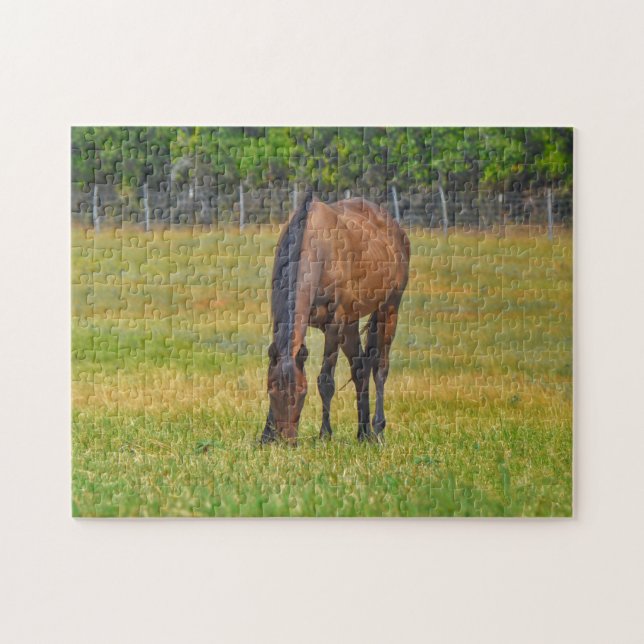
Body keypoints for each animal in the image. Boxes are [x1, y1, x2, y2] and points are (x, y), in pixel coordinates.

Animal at [261, 190, 410, 445]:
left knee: (380, 368)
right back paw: (363, 433)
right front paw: (266, 436)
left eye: (302, 392)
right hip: (351, 323)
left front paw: (324, 434)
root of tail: (395, 228)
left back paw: (377, 429)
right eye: (272, 390)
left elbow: (325, 380)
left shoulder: (334, 324)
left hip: (388, 309)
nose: (287, 442)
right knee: (360, 368)